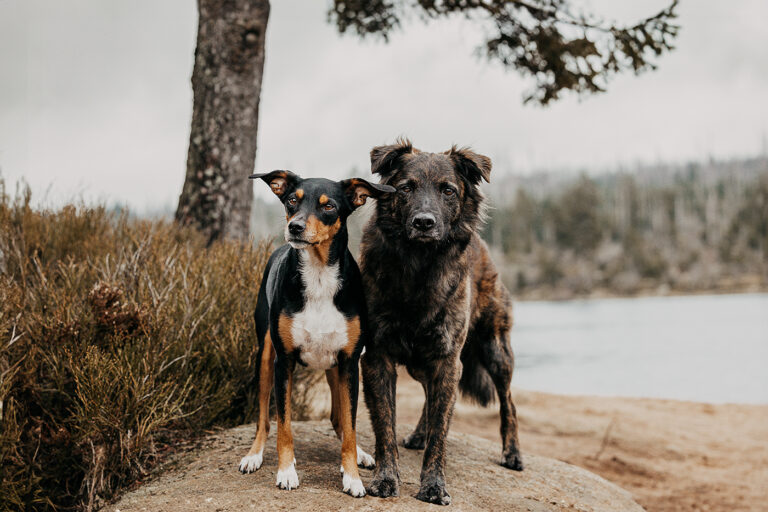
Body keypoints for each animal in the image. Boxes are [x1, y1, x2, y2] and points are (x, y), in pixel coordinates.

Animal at [238, 170, 396, 498]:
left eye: (328, 206)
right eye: (291, 201)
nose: (294, 227)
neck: (319, 274)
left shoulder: (349, 362)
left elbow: (350, 425)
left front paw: (352, 477)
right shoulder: (283, 361)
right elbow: (283, 424)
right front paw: (286, 471)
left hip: (334, 369)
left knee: (339, 420)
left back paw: (360, 455)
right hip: (265, 357)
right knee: (263, 420)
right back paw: (254, 455)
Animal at [358, 139, 520, 504]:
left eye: (448, 190)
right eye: (406, 188)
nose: (424, 223)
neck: (419, 269)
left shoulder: (448, 360)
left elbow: (441, 431)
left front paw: (433, 485)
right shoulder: (377, 357)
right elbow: (385, 425)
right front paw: (386, 478)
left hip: (496, 351)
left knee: (509, 403)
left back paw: (513, 453)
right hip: (422, 363)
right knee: (429, 398)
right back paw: (419, 432)